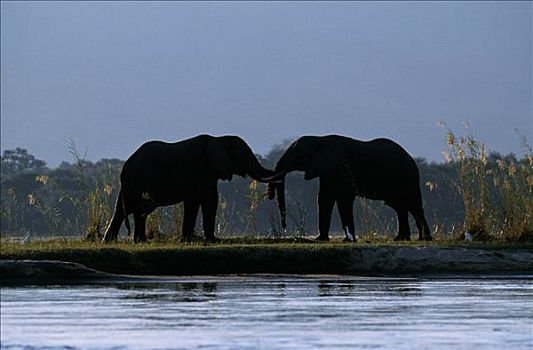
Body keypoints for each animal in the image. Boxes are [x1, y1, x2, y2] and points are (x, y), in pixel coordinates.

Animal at [102, 134, 274, 243]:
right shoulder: (203, 171)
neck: (218, 139)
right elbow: (210, 200)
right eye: (243, 154)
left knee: (123, 209)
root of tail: (124, 166)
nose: (271, 194)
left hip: (130, 185)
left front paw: (185, 240)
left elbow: (193, 203)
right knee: (134, 209)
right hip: (136, 182)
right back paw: (135, 241)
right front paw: (213, 240)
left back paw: (113, 241)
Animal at [268, 135, 430, 242]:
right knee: (400, 206)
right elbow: (324, 199)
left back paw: (423, 239)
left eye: (297, 153)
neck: (320, 139)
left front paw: (348, 240)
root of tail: (411, 159)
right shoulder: (327, 171)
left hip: (407, 178)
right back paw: (401, 239)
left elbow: (343, 199)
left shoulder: (341, 169)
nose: (284, 226)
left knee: (413, 205)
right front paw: (321, 239)